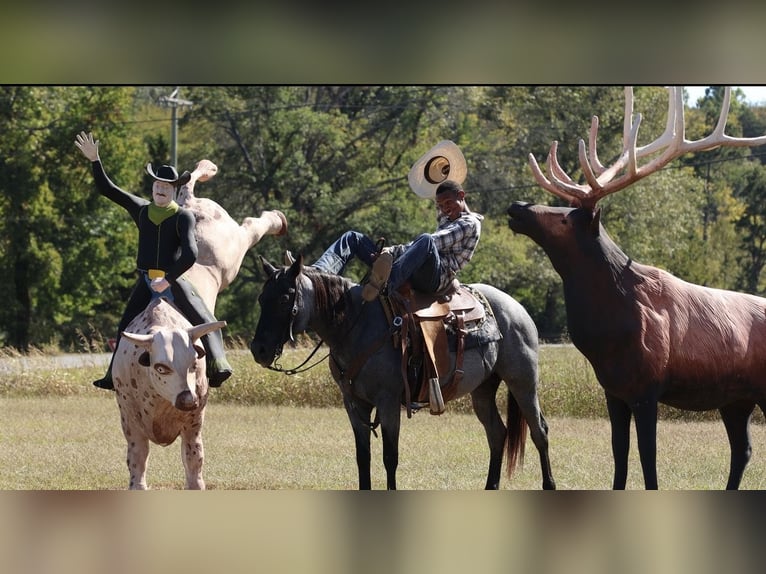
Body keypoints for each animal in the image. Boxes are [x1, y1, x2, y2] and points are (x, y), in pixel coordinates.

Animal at [249, 254, 556, 490]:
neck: (355, 324)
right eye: (262, 298)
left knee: (539, 432)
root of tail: (516, 307)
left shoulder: (387, 402)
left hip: (523, 383)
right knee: (497, 434)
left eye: (285, 298)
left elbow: (390, 457)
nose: (259, 349)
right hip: (483, 389)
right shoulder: (353, 404)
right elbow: (363, 457)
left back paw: (549, 484)